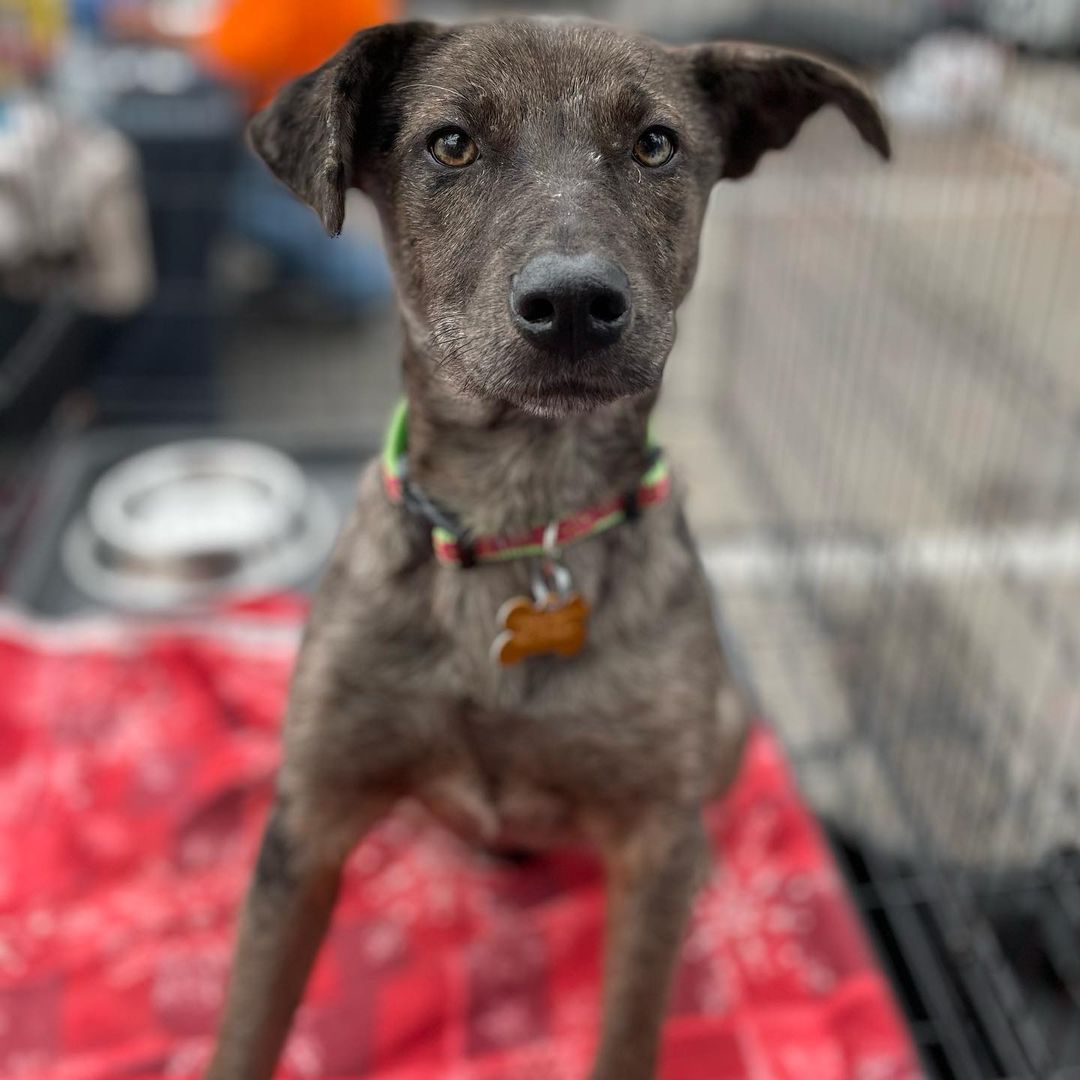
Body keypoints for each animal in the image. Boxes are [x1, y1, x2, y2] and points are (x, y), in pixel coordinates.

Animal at [206, 19, 889, 1080]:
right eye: (450, 144)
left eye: (655, 144)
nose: (573, 305)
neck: (523, 521)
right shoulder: (308, 824)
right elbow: (246, 1028)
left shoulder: (648, 836)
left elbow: (629, 1031)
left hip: (727, 725)